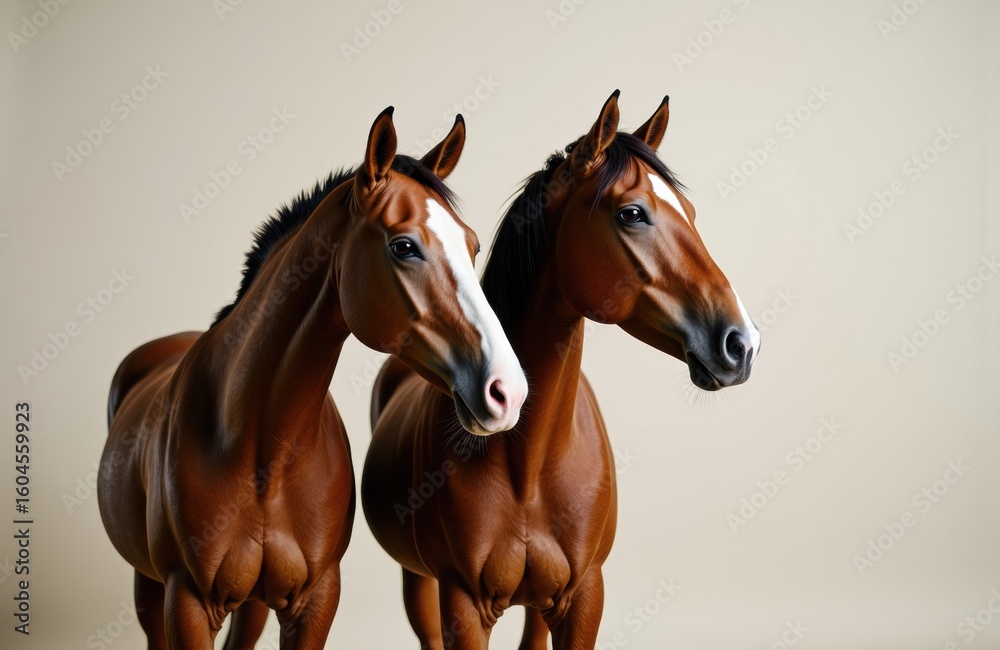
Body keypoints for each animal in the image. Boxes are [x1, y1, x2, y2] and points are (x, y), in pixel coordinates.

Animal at [97, 107, 528, 649]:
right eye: (404, 246)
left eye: (472, 245)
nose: (507, 391)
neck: (264, 454)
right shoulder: (187, 601)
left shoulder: (315, 599)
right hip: (150, 587)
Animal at [361, 91, 761, 649]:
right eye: (632, 213)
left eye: (691, 213)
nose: (742, 343)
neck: (529, 467)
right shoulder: (461, 604)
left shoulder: (583, 597)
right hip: (417, 581)